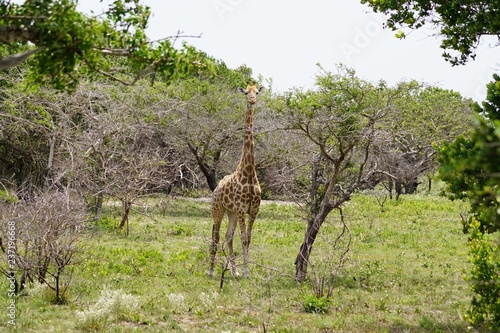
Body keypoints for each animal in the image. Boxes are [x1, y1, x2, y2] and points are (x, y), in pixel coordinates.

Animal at [209, 83, 264, 278]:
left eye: (257, 92)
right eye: (246, 92)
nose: (252, 100)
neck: (248, 172)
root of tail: (215, 189)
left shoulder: (253, 209)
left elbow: (248, 238)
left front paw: (244, 270)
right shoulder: (241, 208)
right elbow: (243, 238)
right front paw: (247, 271)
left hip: (231, 212)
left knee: (228, 236)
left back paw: (234, 271)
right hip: (218, 209)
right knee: (216, 235)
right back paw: (210, 270)